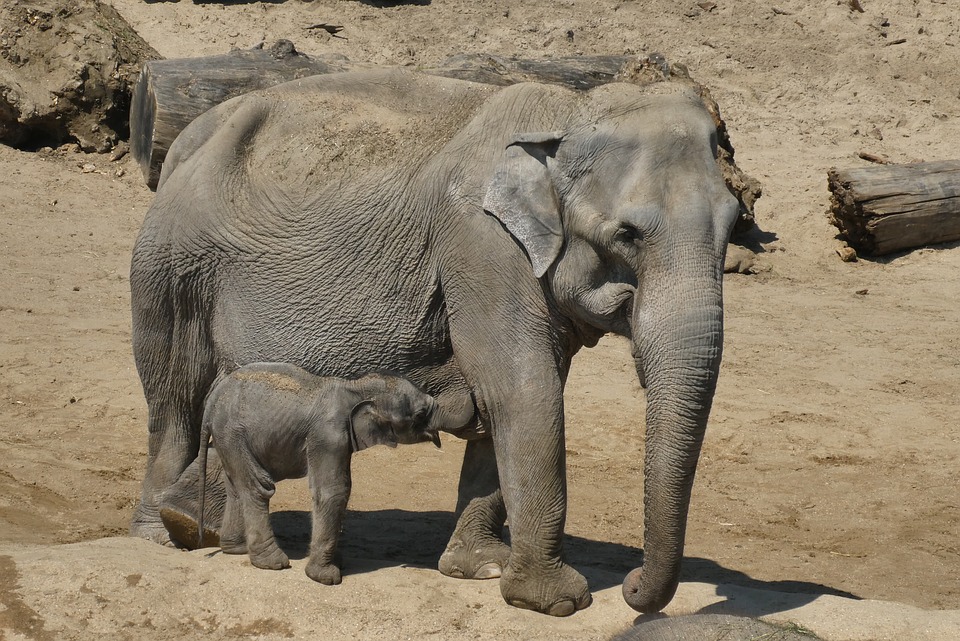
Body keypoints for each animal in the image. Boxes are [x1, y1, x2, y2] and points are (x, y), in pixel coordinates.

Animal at [199, 362, 438, 584]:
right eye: (420, 415)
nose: (438, 436)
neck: (354, 387)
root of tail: (211, 402)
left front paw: (338, 562)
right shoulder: (328, 436)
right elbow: (333, 491)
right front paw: (326, 577)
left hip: (227, 438)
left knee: (235, 486)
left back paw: (237, 549)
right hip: (233, 433)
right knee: (258, 486)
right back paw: (273, 562)